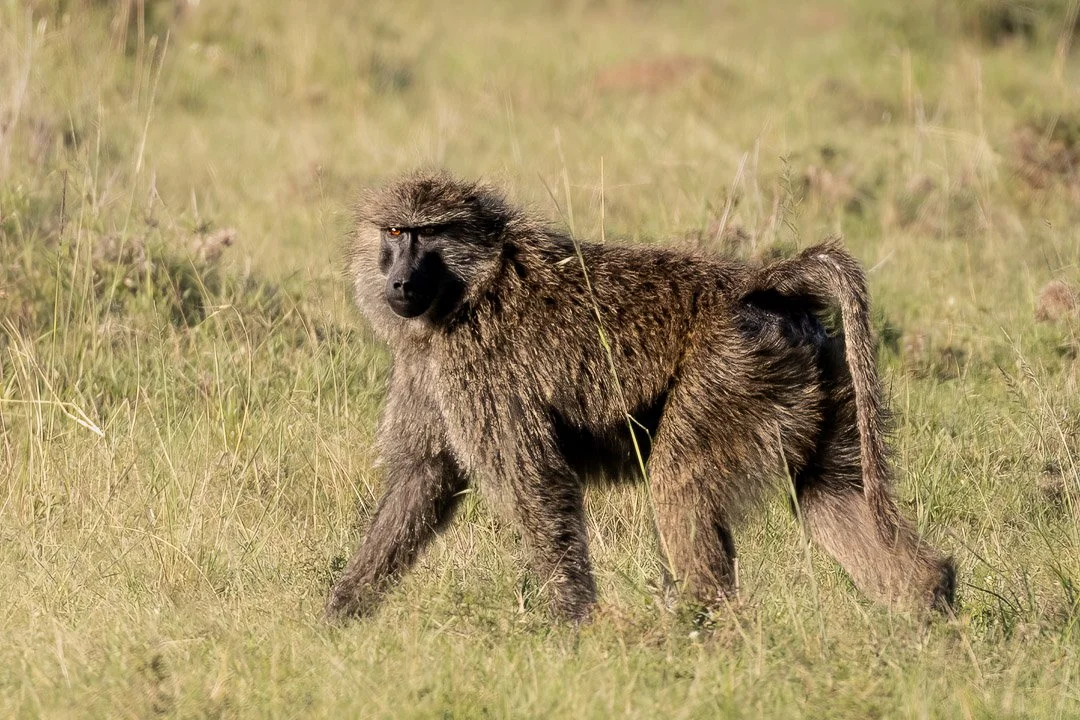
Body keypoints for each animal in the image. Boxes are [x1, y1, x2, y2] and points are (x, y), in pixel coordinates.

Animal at [324, 170, 955, 623]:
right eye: (395, 233)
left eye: (428, 234)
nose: (400, 283)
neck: (470, 289)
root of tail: (760, 284)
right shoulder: (428, 370)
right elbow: (422, 478)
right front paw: (339, 616)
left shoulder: (481, 372)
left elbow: (537, 488)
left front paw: (574, 626)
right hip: (816, 380)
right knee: (829, 496)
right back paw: (930, 610)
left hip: (727, 378)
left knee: (679, 485)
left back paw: (692, 629)